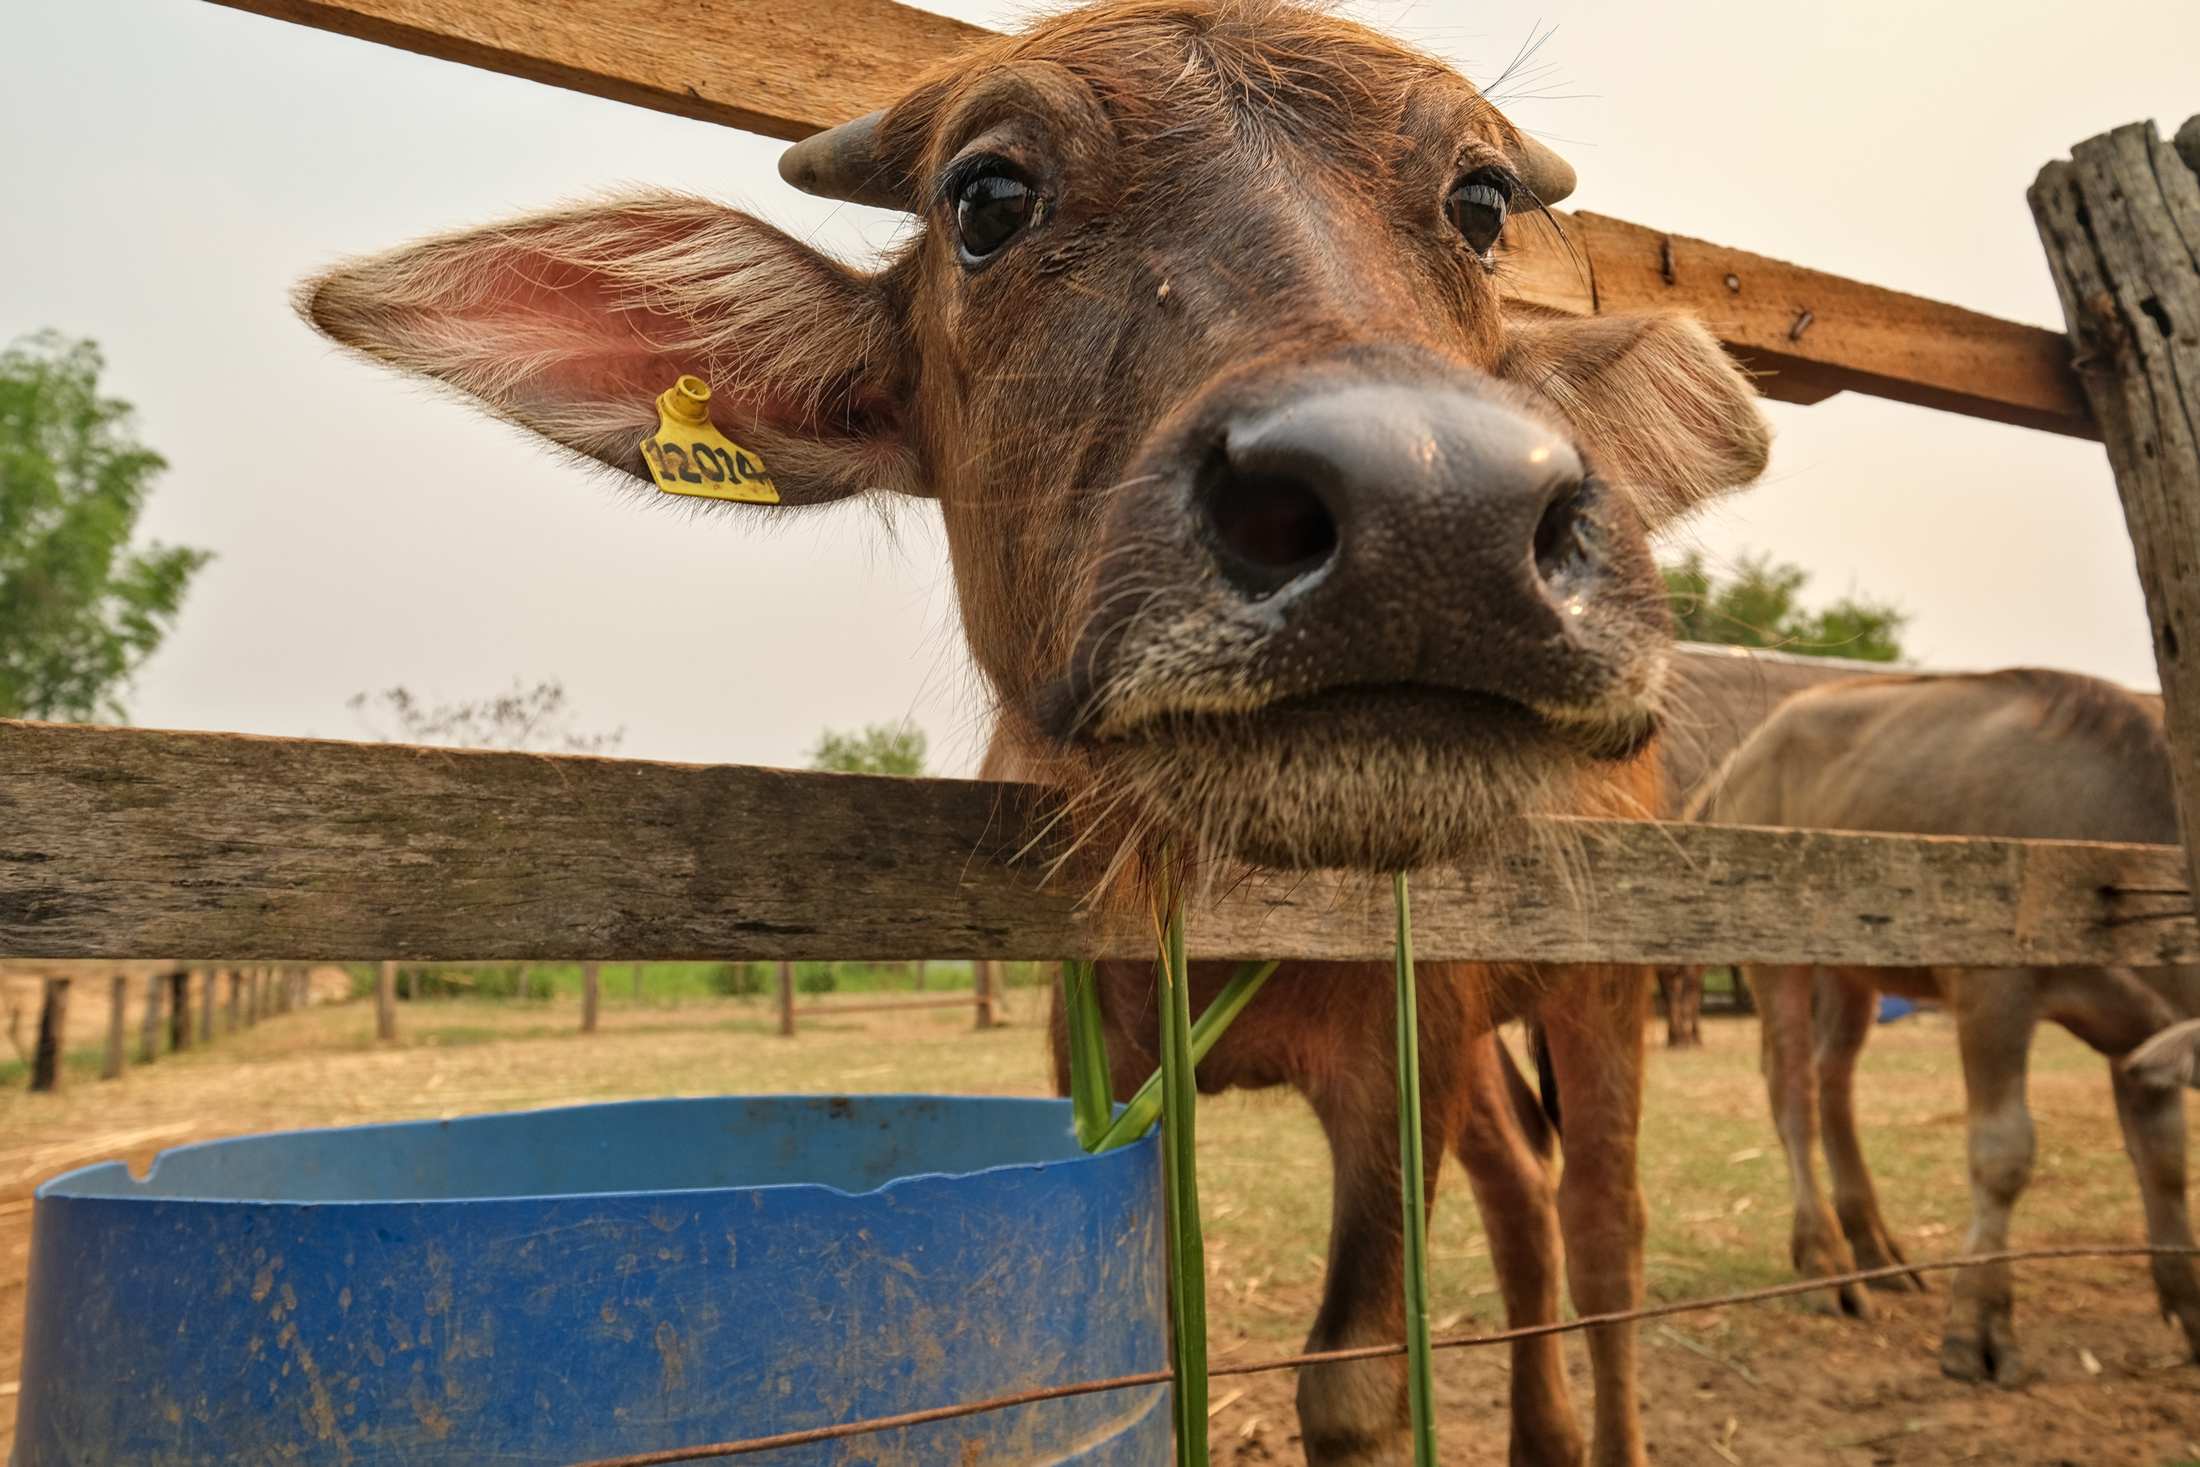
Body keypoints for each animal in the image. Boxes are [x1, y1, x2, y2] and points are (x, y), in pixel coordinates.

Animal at [295, 1, 1771, 1459]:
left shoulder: (1407, 1055)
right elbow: (1153, 1334)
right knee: (1523, 1187)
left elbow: (1350, 1380)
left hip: (1599, 984)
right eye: (989, 197)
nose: (1436, 509)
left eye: (1478, 202)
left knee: (1599, 1222)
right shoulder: (1101, 1063)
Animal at [1689, 668, 2200, 1383]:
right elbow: (2003, 1154)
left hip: (1853, 969)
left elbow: (2166, 1162)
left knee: (1832, 1080)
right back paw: (1824, 1260)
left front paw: (2191, 1310)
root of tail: (1738, 758)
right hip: (1775, 954)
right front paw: (1977, 1326)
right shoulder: (1991, 990)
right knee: (1790, 1088)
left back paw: (1875, 1248)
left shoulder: (2142, 1033)